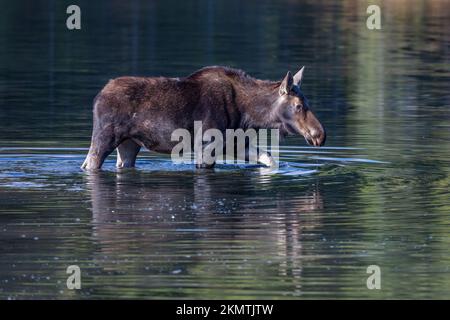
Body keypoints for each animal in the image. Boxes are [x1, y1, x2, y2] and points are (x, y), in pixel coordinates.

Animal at [81, 65, 326, 170]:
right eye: (298, 105)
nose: (320, 135)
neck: (250, 116)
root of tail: (97, 97)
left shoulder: (235, 143)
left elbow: (269, 159)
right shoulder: (206, 145)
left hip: (129, 143)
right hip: (105, 136)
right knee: (89, 163)